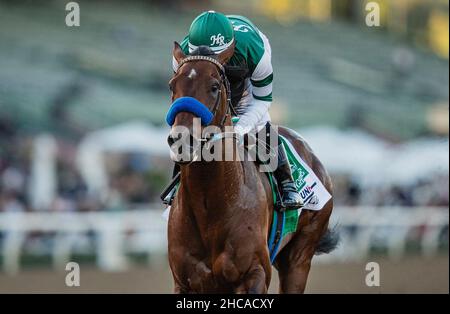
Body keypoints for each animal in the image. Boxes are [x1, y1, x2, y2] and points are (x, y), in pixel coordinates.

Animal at [166, 41, 338, 294]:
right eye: (172, 85)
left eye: (214, 86)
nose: (181, 141)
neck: (210, 203)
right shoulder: (185, 282)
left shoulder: (254, 274)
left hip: (299, 257)